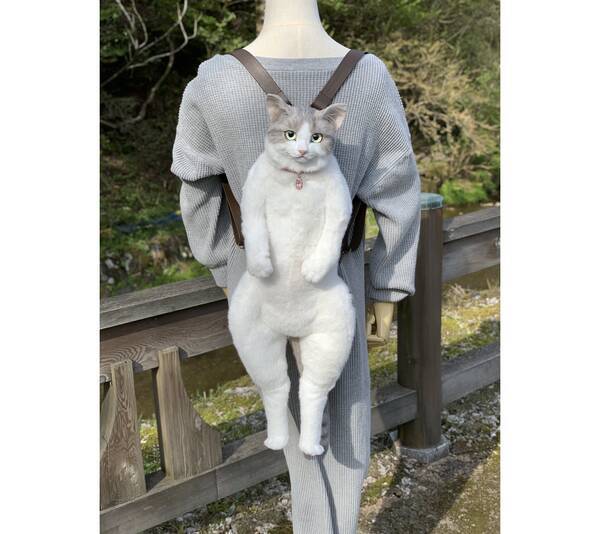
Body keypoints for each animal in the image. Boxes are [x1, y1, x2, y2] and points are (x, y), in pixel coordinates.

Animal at [227, 93, 356, 456]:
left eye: (316, 137)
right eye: (289, 134)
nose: (301, 150)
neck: (298, 178)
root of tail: (291, 329)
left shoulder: (340, 205)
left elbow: (330, 237)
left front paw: (312, 270)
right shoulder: (253, 201)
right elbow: (255, 231)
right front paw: (261, 266)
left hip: (329, 341)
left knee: (311, 392)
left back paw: (309, 445)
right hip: (254, 340)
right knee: (276, 389)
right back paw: (277, 440)